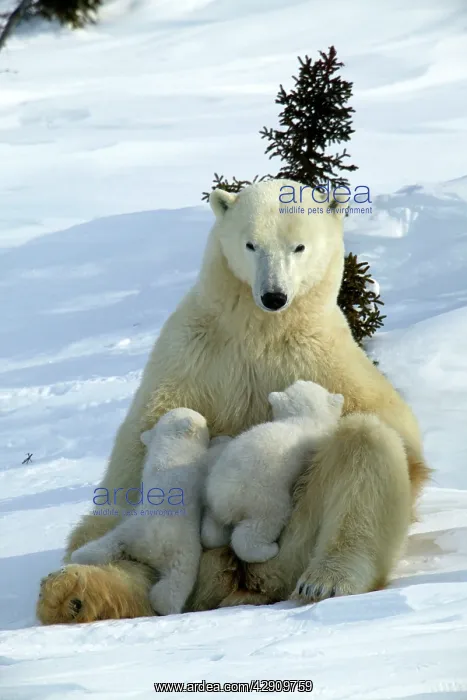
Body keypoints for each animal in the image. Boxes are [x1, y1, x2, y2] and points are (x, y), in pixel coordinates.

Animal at [70, 408, 211, 616]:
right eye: (204, 421)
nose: (207, 421)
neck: (173, 440)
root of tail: (150, 548)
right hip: (183, 548)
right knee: (175, 584)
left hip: (134, 532)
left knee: (107, 545)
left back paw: (81, 554)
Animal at [202, 380, 344, 563]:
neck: (304, 418)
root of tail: (224, 502)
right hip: (262, 498)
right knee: (259, 526)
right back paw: (267, 550)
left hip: (212, 493)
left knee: (212, 528)